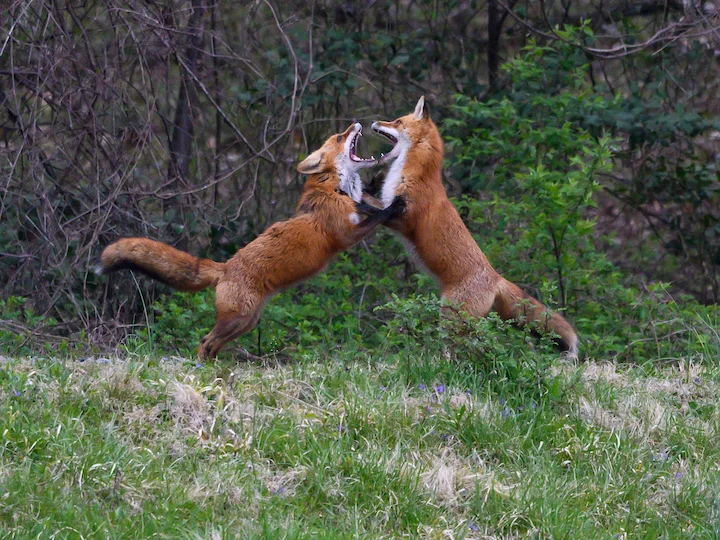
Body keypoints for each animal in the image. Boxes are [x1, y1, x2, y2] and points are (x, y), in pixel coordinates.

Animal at [97, 123, 405, 359]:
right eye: (341, 137)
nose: (356, 124)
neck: (335, 187)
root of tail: (223, 268)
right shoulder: (344, 236)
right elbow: (375, 217)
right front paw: (393, 206)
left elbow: (370, 204)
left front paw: (376, 185)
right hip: (238, 319)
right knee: (205, 341)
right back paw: (202, 369)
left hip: (247, 322)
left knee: (213, 344)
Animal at [367, 97, 579, 356]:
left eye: (397, 121)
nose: (374, 122)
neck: (417, 173)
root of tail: (496, 278)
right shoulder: (391, 210)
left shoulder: (403, 217)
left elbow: (369, 206)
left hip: (450, 318)